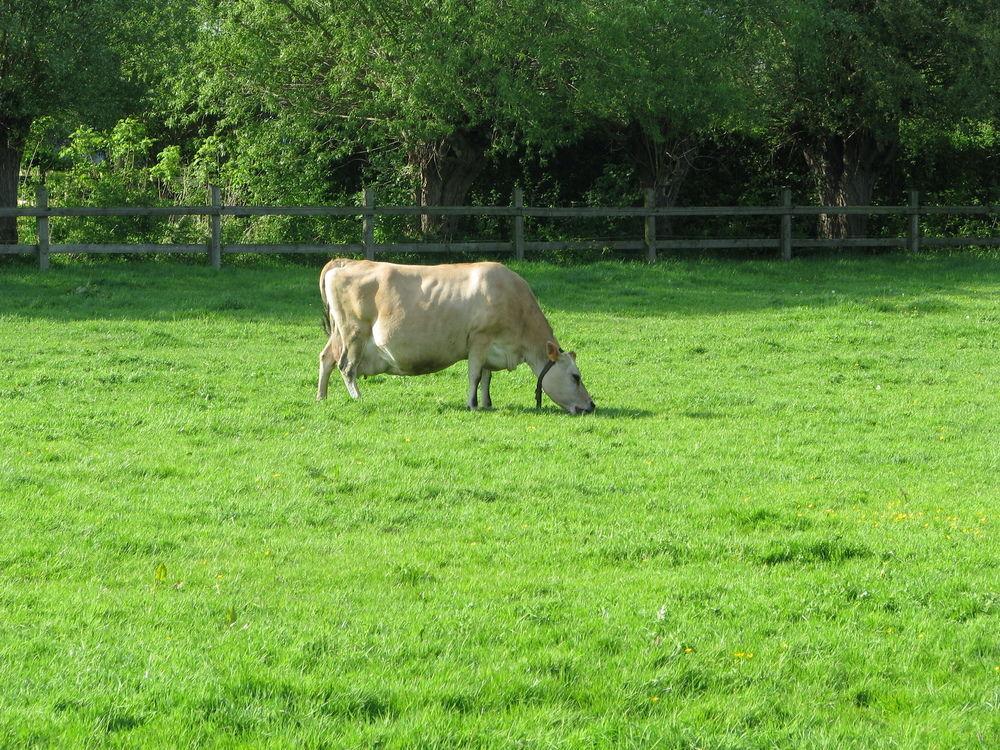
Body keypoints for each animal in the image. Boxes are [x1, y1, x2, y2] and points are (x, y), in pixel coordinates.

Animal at [318, 258, 592, 412]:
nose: (591, 405)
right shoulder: (479, 340)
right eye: (576, 377)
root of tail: (345, 261)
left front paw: (487, 403)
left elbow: (486, 378)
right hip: (354, 333)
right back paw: (358, 398)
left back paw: (321, 397)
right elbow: (475, 376)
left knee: (326, 358)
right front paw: (472, 404)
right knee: (346, 367)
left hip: (338, 334)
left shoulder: (491, 348)